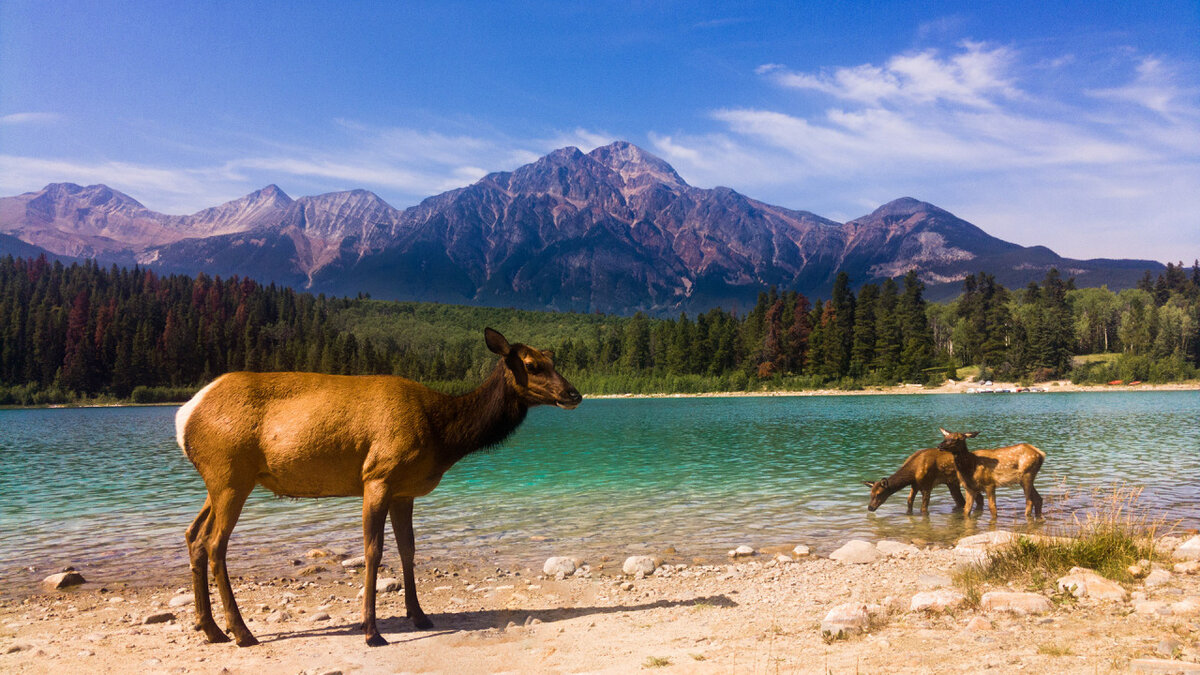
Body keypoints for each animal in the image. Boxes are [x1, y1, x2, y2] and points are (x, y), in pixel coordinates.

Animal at [174, 329, 580, 643]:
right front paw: (371, 630)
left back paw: (210, 629)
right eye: (532, 365)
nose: (574, 394)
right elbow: (373, 551)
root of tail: (183, 416)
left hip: (219, 482)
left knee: (194, 535)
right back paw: (241, 632)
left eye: (552, 359)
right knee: (215, 544)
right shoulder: (378, 476)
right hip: (230, 475)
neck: (443, 435)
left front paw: (420, 615)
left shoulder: (405, 491)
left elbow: (408, 550)